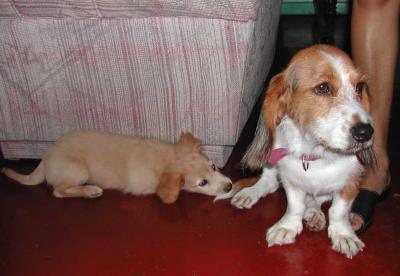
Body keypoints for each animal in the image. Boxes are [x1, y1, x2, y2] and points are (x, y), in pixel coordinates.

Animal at [1, 130, 233, 204]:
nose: (230, 186)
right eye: (202, 183)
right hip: (79, 170)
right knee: (58, 191)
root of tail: (44, 157)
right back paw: (89, 191)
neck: (167, 159)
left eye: (214, 166)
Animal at [231, 45, 376, 258]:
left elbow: (338, 211)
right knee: (269, 182)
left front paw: (343, 235)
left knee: (317, 200)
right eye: (323, 88)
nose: (365, 132)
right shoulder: (291, 179)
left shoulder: (350, 183)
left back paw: (315, 214)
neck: (317, 154)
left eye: (359, 87)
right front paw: (287, 227)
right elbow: (295, 206)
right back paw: (251, 193)